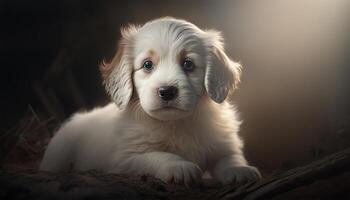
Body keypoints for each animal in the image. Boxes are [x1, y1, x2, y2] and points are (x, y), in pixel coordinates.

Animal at [40, 17, 260, 186]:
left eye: (188, 64)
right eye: (147, 65)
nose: (167, 91)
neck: (176, 123)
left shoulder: (222, 141)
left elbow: (229, 157)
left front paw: (240, 169)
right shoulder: (125, 160)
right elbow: (157, 155)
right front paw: (179, 166)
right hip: (60, 149)